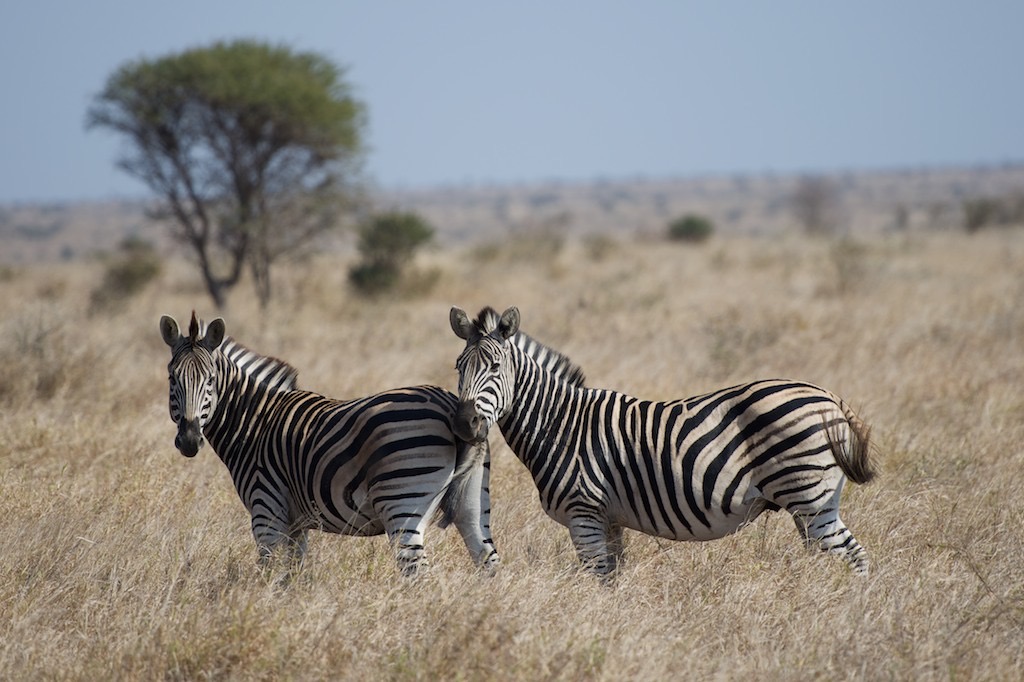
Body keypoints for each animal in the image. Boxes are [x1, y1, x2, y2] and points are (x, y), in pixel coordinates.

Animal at [157, 309, 497, 573]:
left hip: (403, 502)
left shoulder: (266, 510)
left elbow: (267, 572)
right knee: (487, 559)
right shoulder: (295, 525)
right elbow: (291, 575)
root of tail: (451, 406)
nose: (189, 441)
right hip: (472, 502)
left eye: (210, 381)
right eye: (172, 378)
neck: (253, 421)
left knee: (417, 572)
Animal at [444, 305, 876, 577]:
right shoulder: (608, 520)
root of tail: (828, 396)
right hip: (813, 501)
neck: (559, 423)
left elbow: (596, 581)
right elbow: (610, 583)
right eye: (458, 367)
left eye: (495, 367)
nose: (464, 423)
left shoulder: (583, 514)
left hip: (809, 496)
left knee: (854, 558)